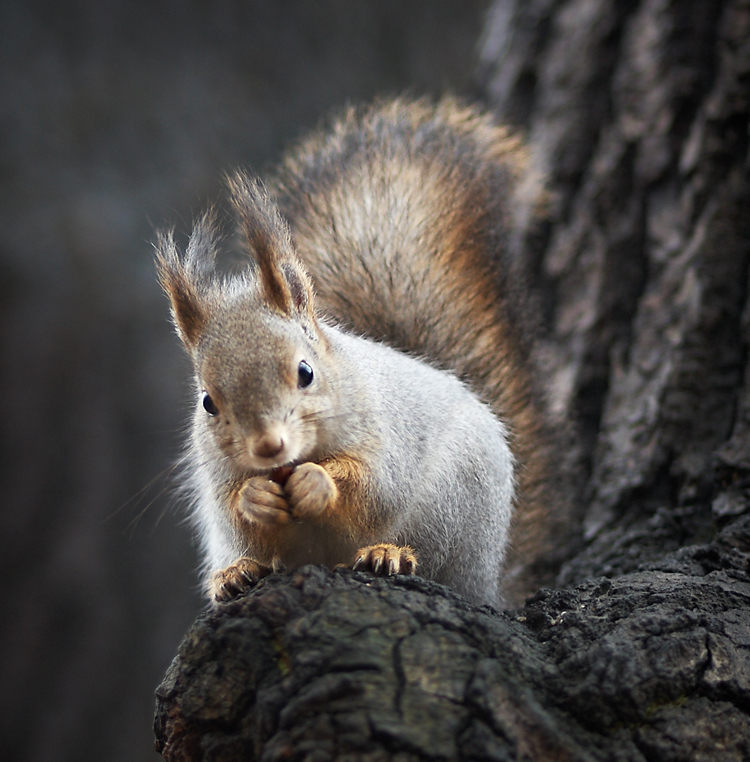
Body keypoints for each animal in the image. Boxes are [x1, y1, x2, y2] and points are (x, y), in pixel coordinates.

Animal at [156, 96, 572, 604]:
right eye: (208, 402)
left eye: (306, 372)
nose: (269, 446)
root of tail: (490, 581)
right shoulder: (216, 474)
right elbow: (235, 508)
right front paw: (255, 498)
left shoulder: (385, 433)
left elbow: (372, 485)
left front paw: (317, 481)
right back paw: (234, 573)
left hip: (454, 507)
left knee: (432, 562)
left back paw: (388, 553)